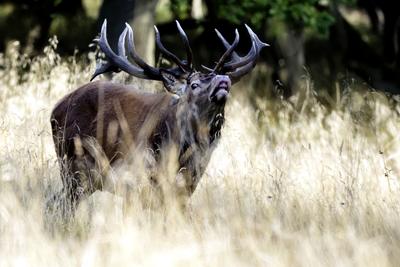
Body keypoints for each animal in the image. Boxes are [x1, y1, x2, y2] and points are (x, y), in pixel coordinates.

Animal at [50, 18, 268, 213]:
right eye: (194, 84)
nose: (223, 79)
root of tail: (56, 108)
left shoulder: (184, 190)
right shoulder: (136, 181)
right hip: (72, 165)